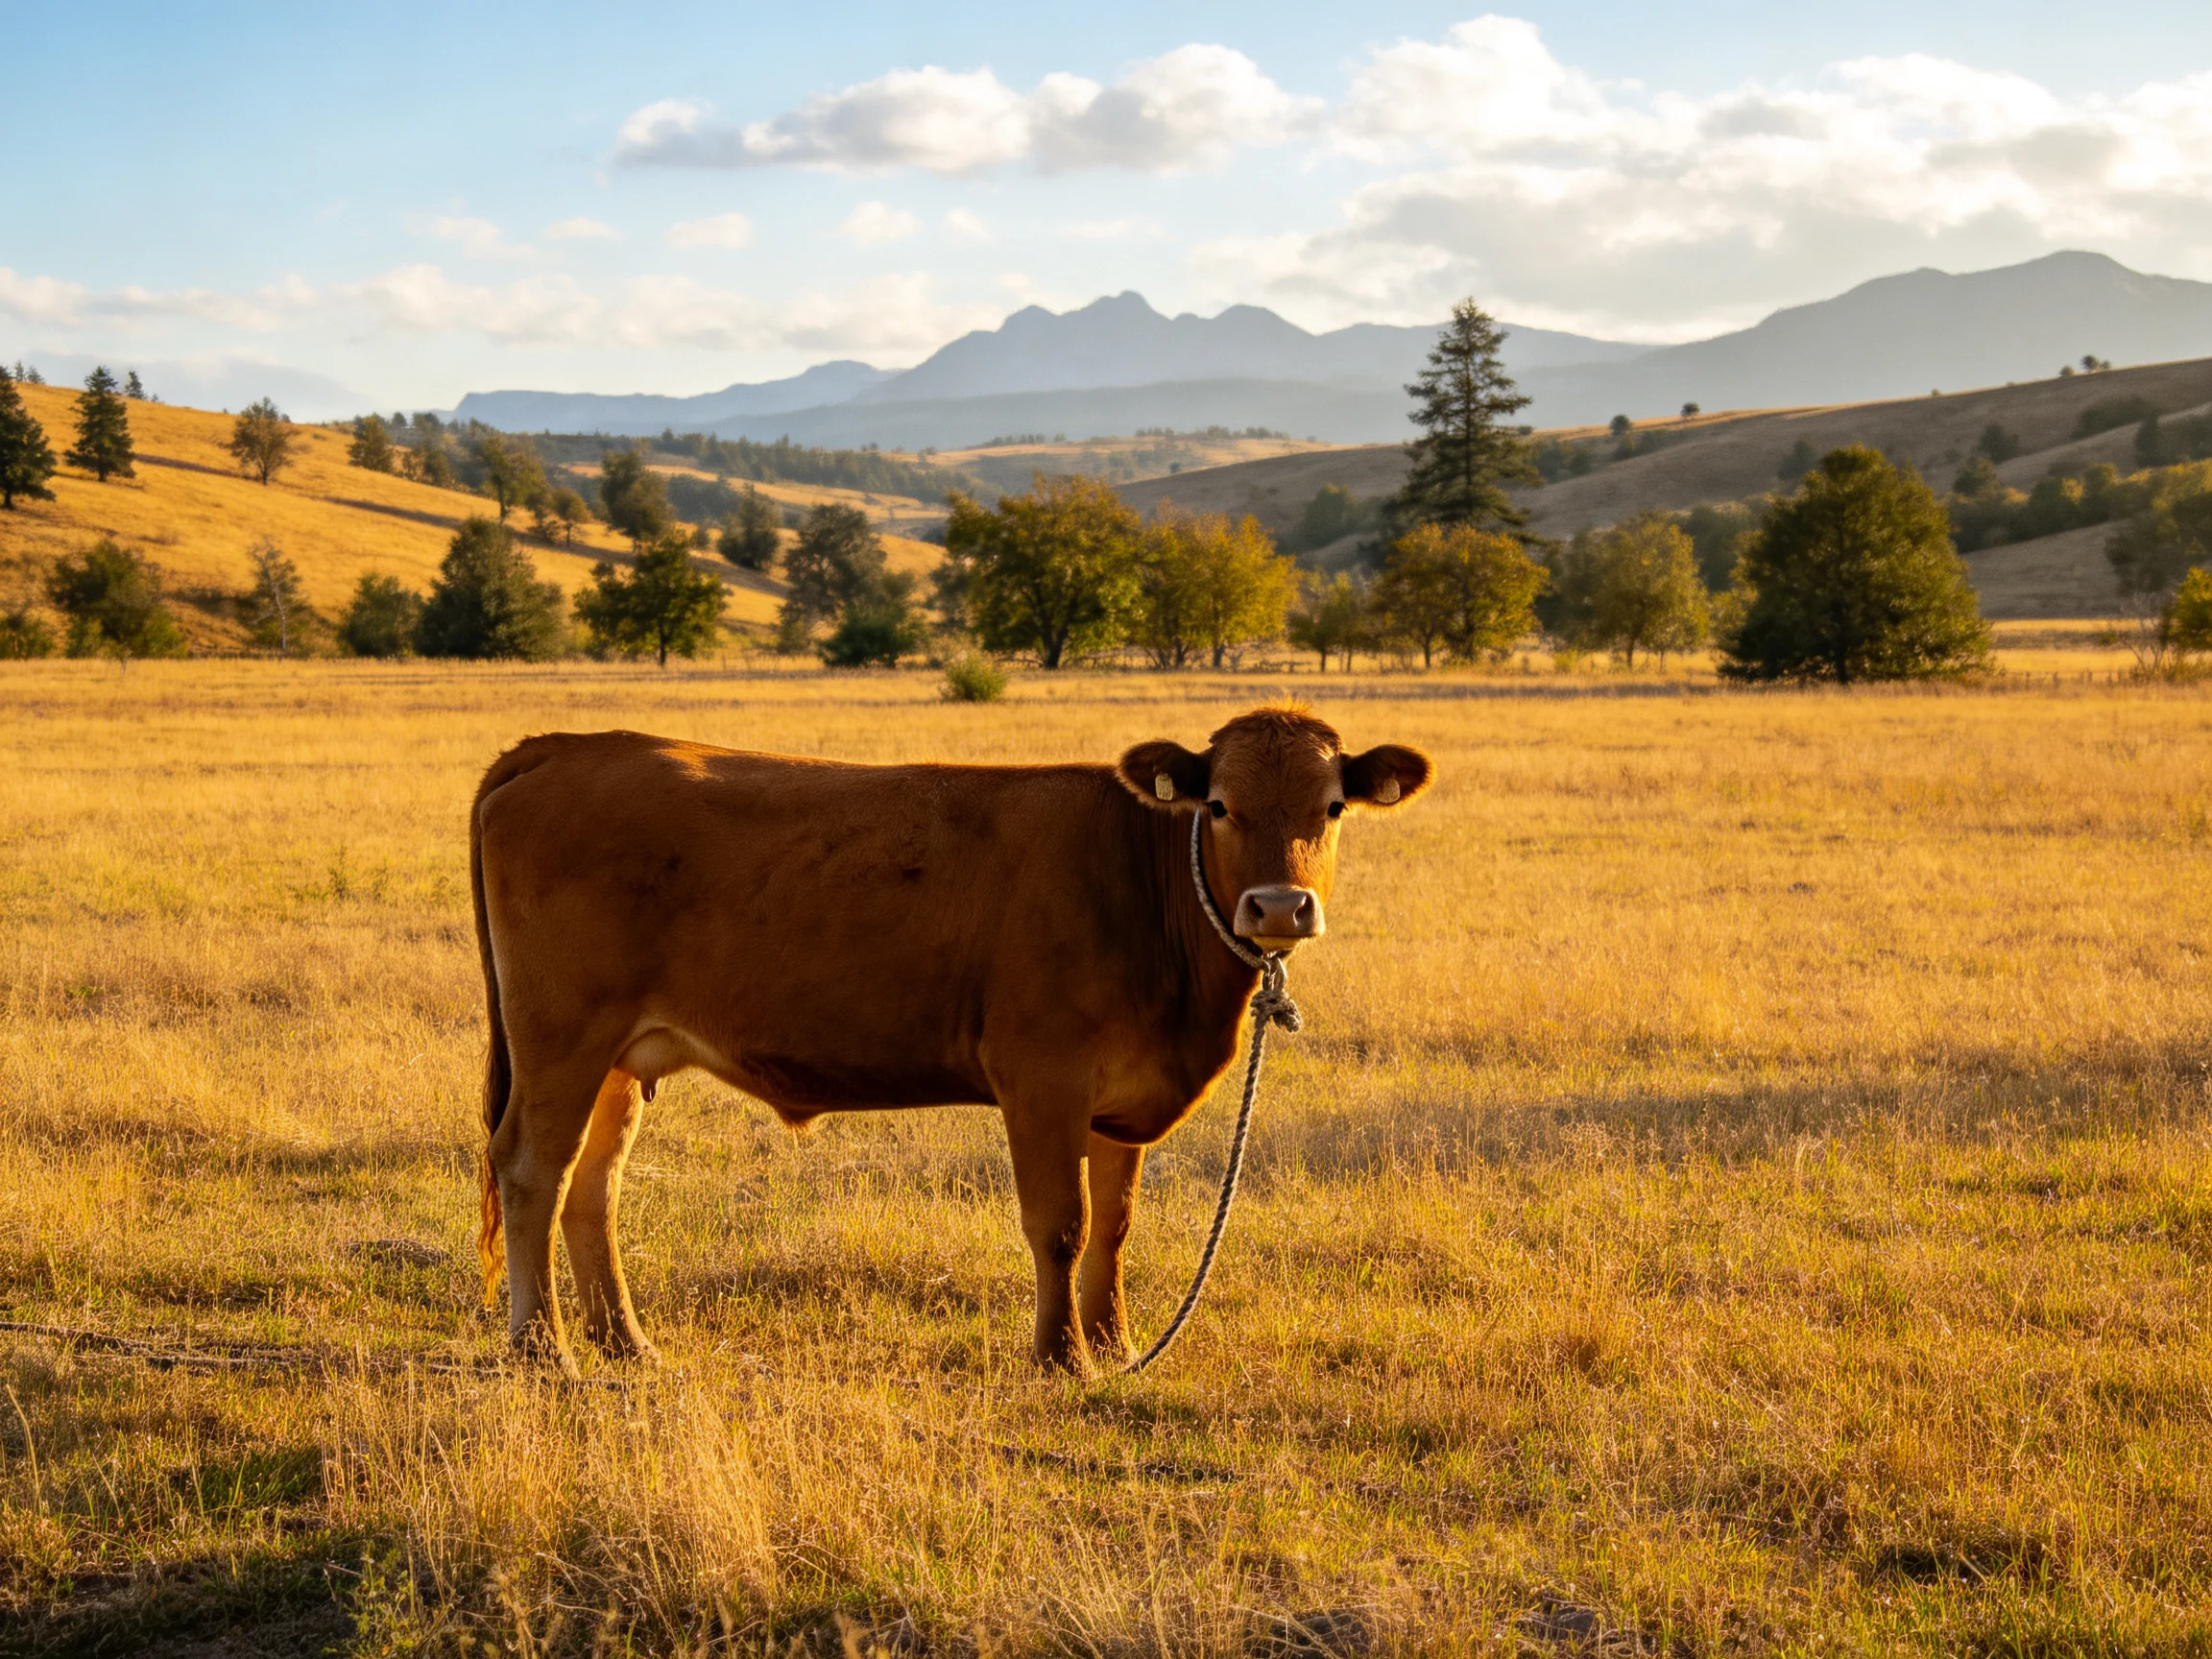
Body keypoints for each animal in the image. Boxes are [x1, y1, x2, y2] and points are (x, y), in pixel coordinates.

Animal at [471, 706, 1432, 1376]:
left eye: (1333, 807)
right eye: (1222, 806)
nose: (1279, 908)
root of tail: (571, 745)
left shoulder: (1119, 1101)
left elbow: (1116, 1225)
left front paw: (1116, 1348)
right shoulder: (1042, 1079)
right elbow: (1061, 1224)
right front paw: (1060, 1359)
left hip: (619, 1057)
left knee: (593, 1184)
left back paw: (625, 1344)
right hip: (561, 1036)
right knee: (531, 1168)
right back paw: (542, 1348)